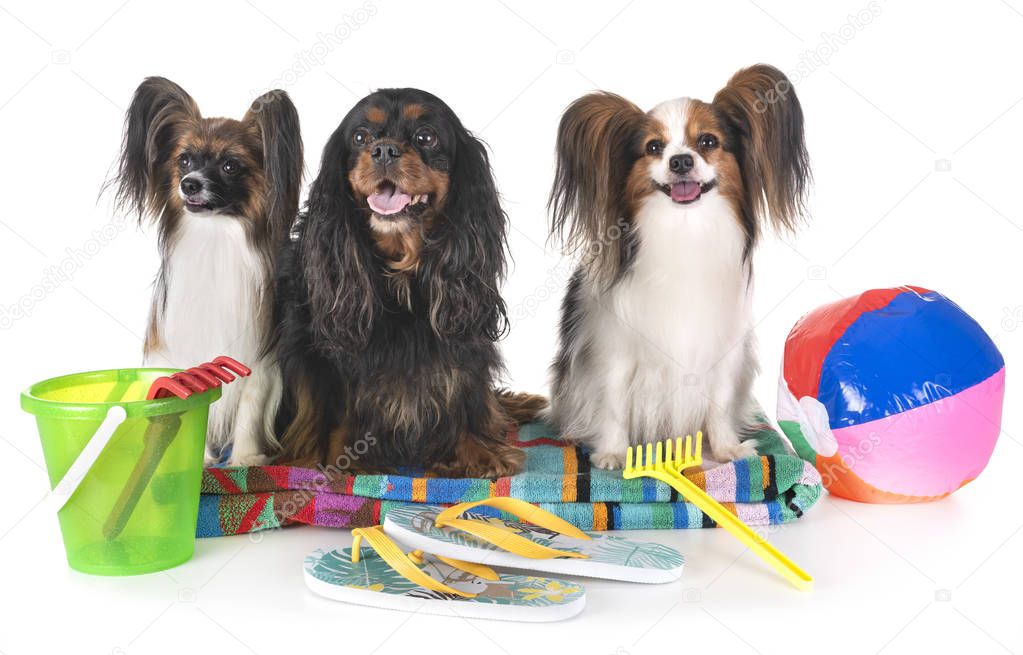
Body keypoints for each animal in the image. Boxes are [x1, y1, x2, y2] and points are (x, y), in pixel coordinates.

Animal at [113, 77, 302, 466]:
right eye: (184, 160)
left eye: (230, 166)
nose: (189, 183)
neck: (215, 235)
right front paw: (200, 460)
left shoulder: (259, 354)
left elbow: (250, 405)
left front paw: (244, 459)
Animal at [272, 88, 544, 474]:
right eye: (360, 137)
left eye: (425, 137)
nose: (384, 150)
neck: (401, 268)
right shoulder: (320, 350)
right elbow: (338, 404)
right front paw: (341, 459)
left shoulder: (462, 342)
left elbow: (463, 391)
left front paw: (477, 450)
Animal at [548, 63, 810, 468]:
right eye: (654, 147)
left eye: (708, 142)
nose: (681, 161)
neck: (684, 228)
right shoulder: (614, 351)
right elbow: (613, 404)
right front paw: (613, 453)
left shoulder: (721, 348)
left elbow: (718, 403)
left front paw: (726, 449)